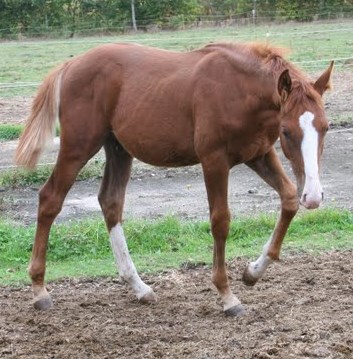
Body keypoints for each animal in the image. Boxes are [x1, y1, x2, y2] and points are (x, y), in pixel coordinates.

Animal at [14, 43, 332, 318]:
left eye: (326, 127)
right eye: (286, 131)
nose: (314, 196)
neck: (238, 90)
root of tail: (70, 65)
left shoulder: (259, 154)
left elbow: (289, 198)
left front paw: (252, 273)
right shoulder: (214, 160)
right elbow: (220, 221)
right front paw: (227, 296)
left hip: (118, 148)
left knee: (110, 202)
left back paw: (139, 287)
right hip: (78, 146)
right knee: (50, 198)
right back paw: (39, 290)